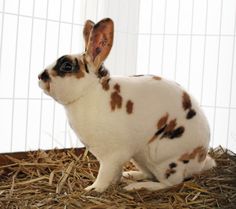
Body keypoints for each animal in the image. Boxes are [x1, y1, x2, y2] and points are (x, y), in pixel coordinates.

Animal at [38, 18, 216, 193]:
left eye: (67, 66)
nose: (39, 77)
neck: (89, 92)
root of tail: (200, 161)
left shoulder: (111, 156)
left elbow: (104, 174)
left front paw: (93, 189)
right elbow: (114, 174)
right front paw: (115, 182)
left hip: (164, 159)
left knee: (170, 183)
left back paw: (136, 187)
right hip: (140, 157)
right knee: (149, 174)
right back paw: (130, 176)